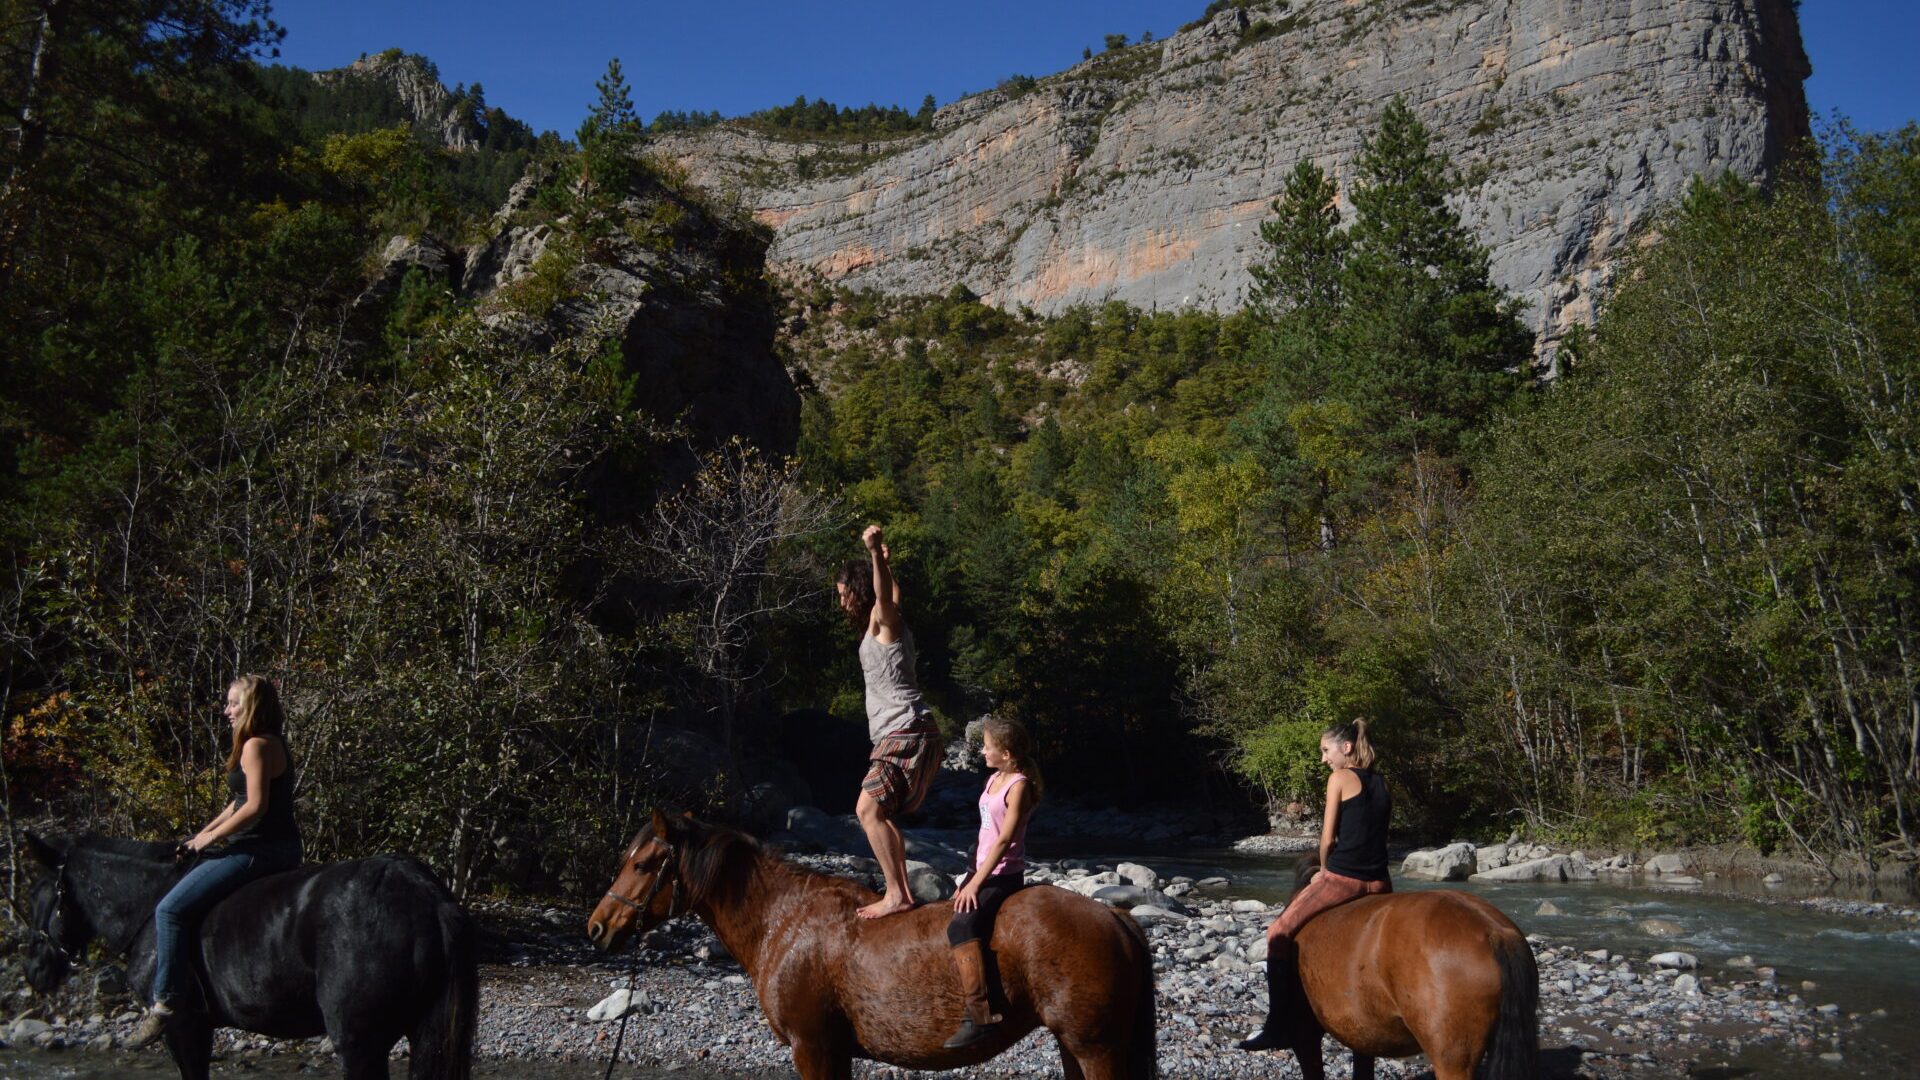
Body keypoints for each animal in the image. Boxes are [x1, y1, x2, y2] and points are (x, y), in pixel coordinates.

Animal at [20, 832, 478, 1080]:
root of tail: (426, 894)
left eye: (39, 895)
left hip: (359, 1043)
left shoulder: (184, 1026)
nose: (32, 971)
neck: (148, 904)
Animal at [585, 810, 1158, 1080]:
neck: (784, 920)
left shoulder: (813, 1048)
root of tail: (1114, 917)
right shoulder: (833, 1052)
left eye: (643, 864)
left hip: (1094, 1047)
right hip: (1074, 1045)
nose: (596, 927)